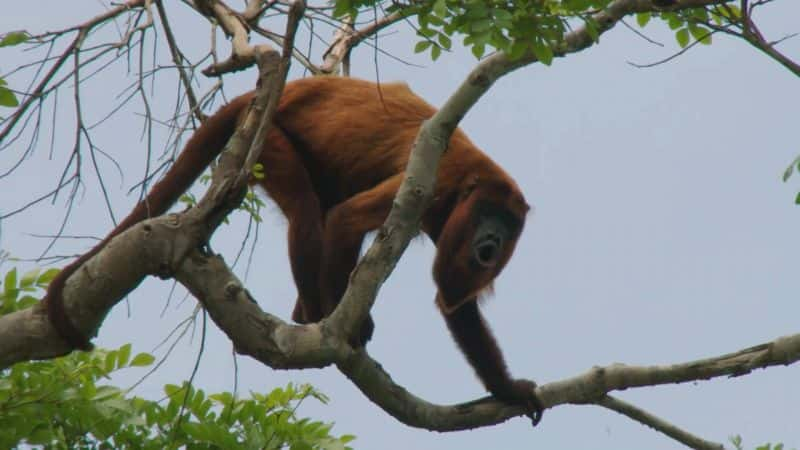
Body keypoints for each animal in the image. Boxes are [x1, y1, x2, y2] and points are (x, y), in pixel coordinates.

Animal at [45, 76, 544, 422]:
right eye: (488, 214)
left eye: (510, 223)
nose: (494, 239)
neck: (468, 186)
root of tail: (269, 94)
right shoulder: (435, 182)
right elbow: (346, 220)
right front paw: (342, 330)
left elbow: (453, 299)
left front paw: (507, 389)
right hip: (271, 141)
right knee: (309, 209)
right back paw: (316, 316)